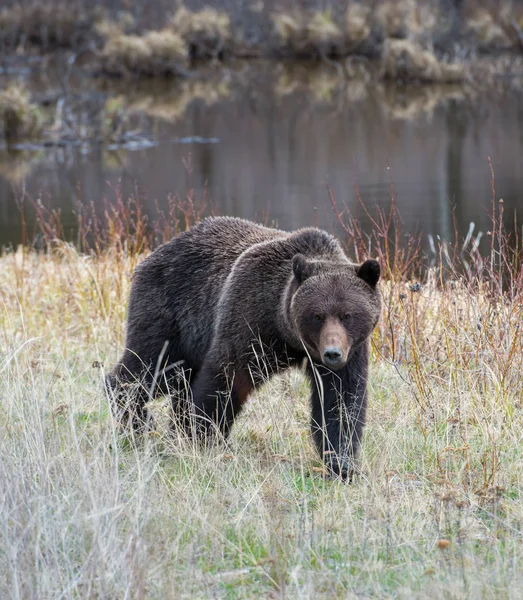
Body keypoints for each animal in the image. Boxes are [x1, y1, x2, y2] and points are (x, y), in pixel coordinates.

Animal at [106, 218, 382, 480]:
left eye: (347, 315)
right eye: (317, 316)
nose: (332, 353)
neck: (288, 334)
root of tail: (154, 253)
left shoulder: (351, 352)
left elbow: (340, 403)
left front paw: (341, 465)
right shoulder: (250, 319)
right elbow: (224, 379)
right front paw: (202, 438)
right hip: (172, 313)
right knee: (151, 368)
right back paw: (136, 419)